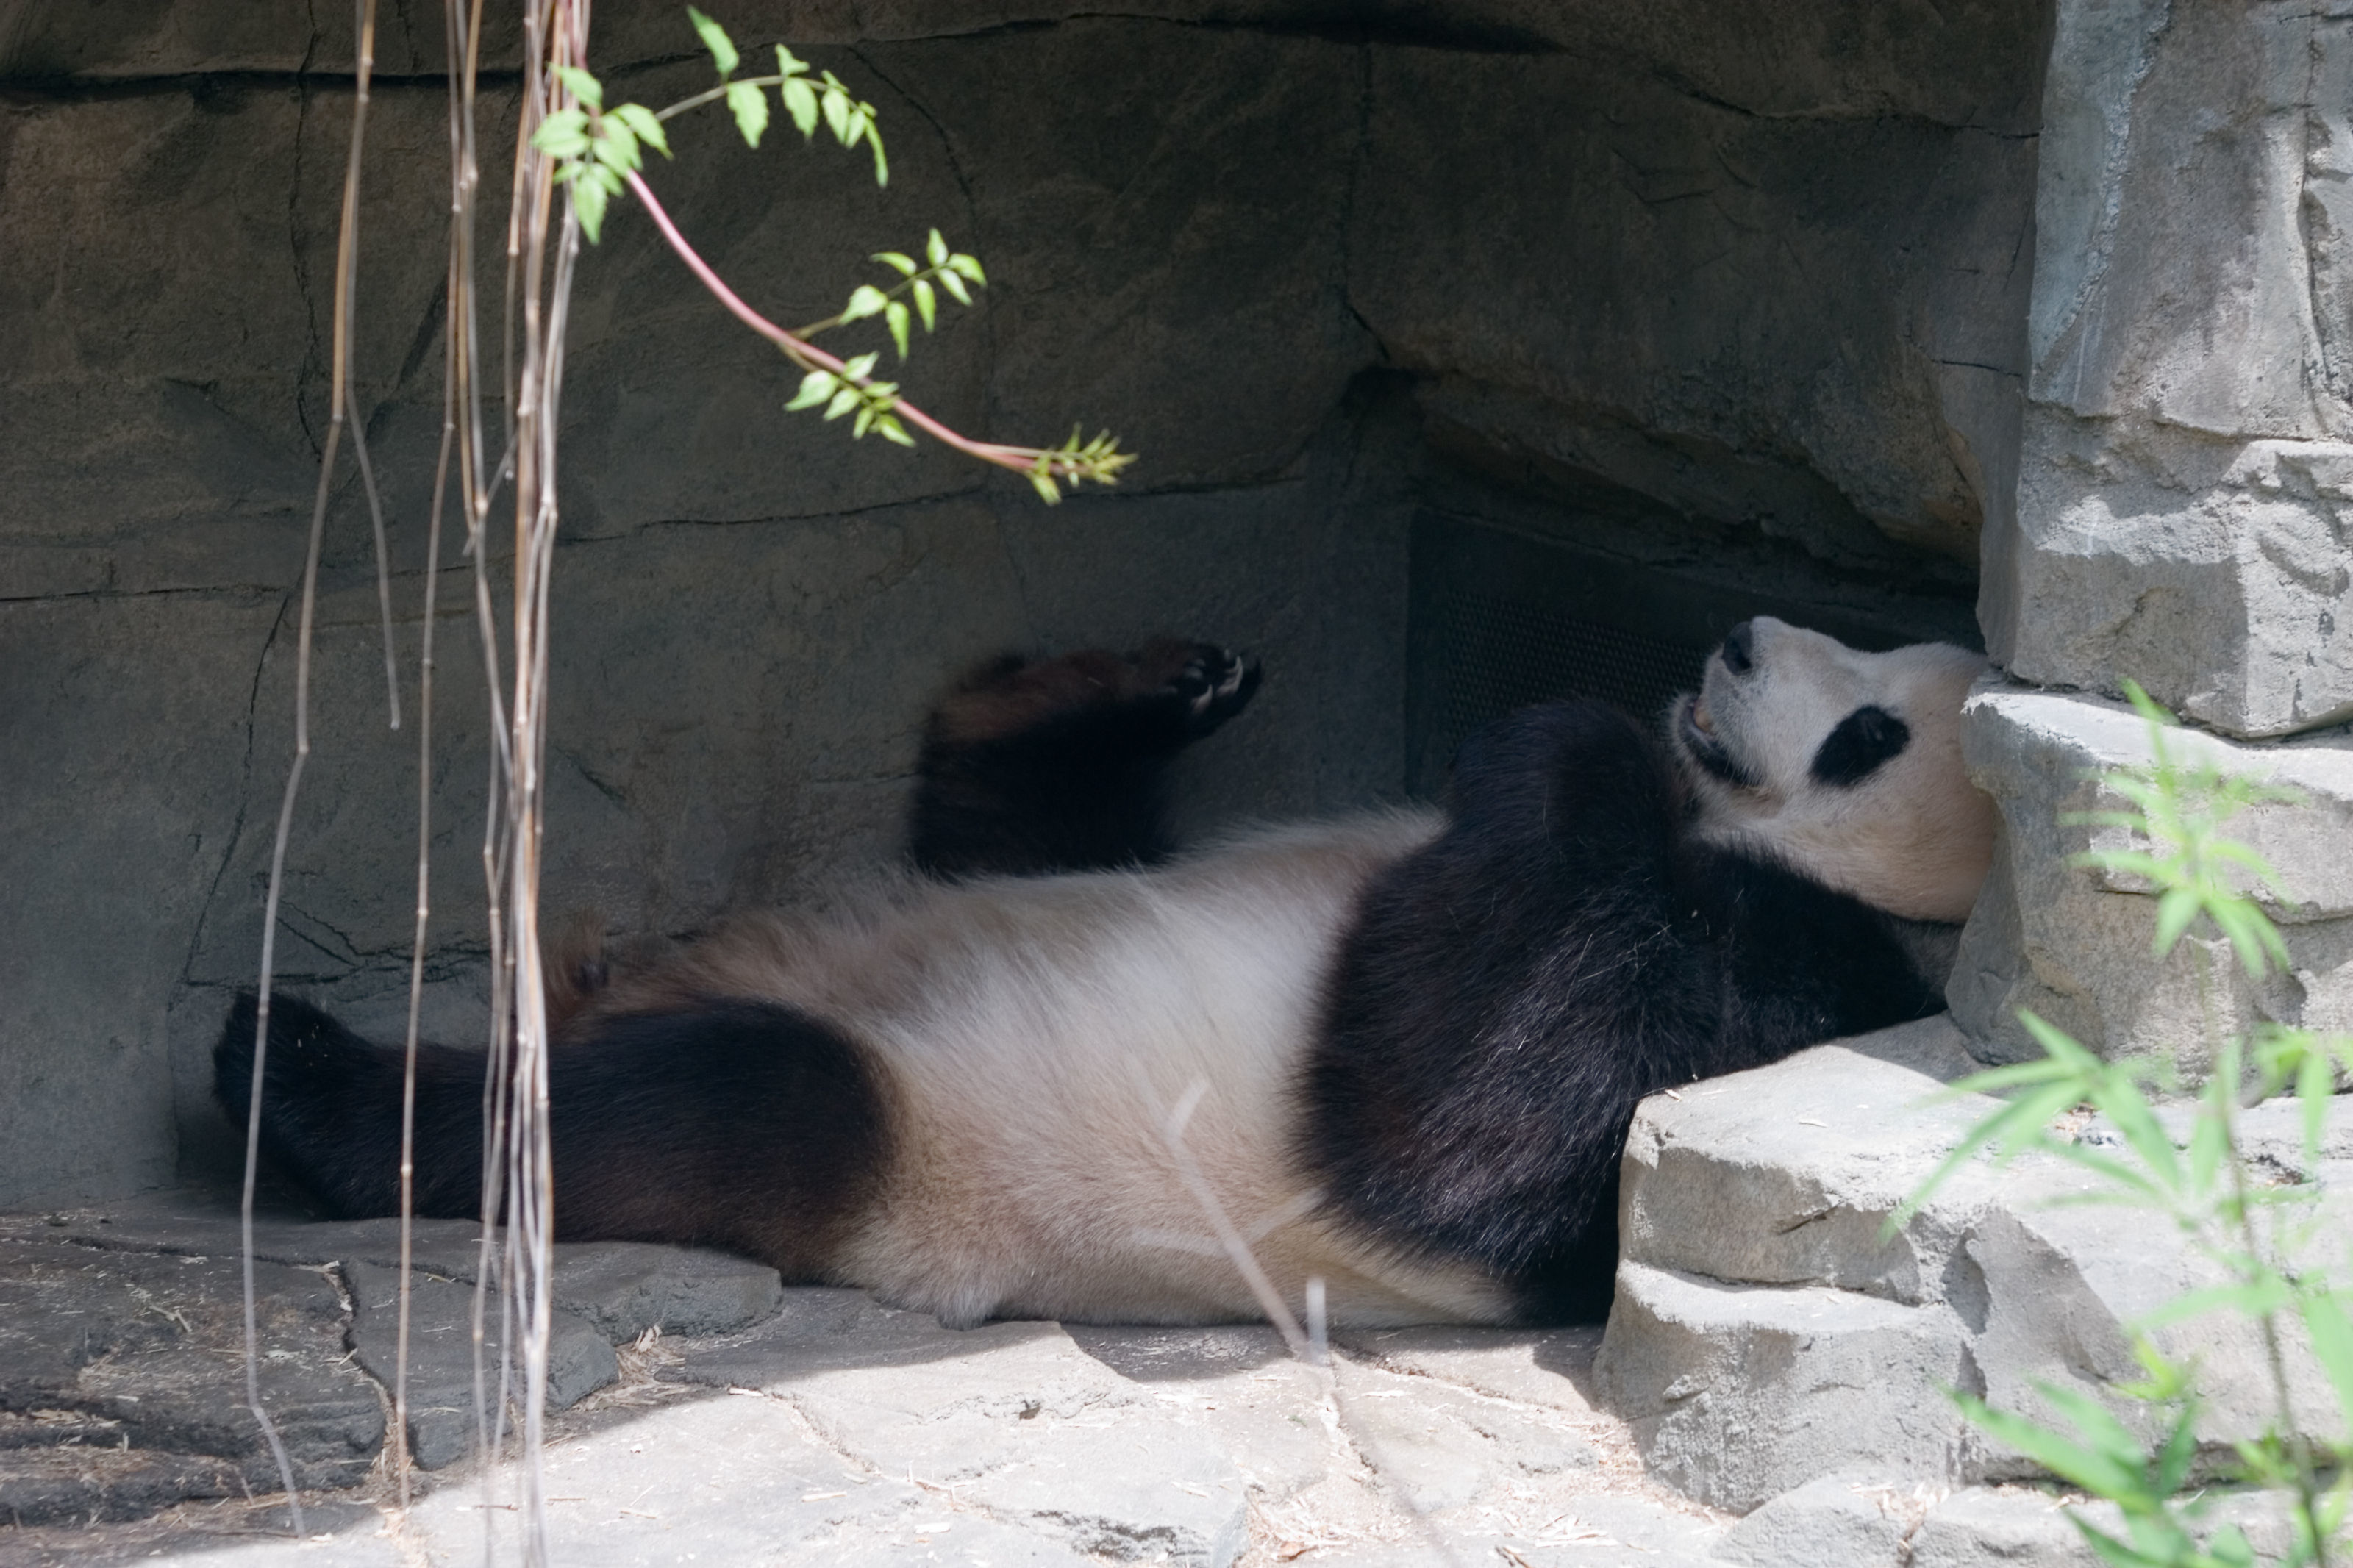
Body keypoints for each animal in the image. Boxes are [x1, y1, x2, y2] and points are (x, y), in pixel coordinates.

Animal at [216, 620, 1985, 1335]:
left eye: (1867, 734)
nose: (1740, 642)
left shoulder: (1762, 998)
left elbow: (1454, 1130)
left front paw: (1566, 744)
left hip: (923, 1155)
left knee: (713, 1103)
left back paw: (292, 1073)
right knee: (1012, 829)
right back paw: (1143, 687)